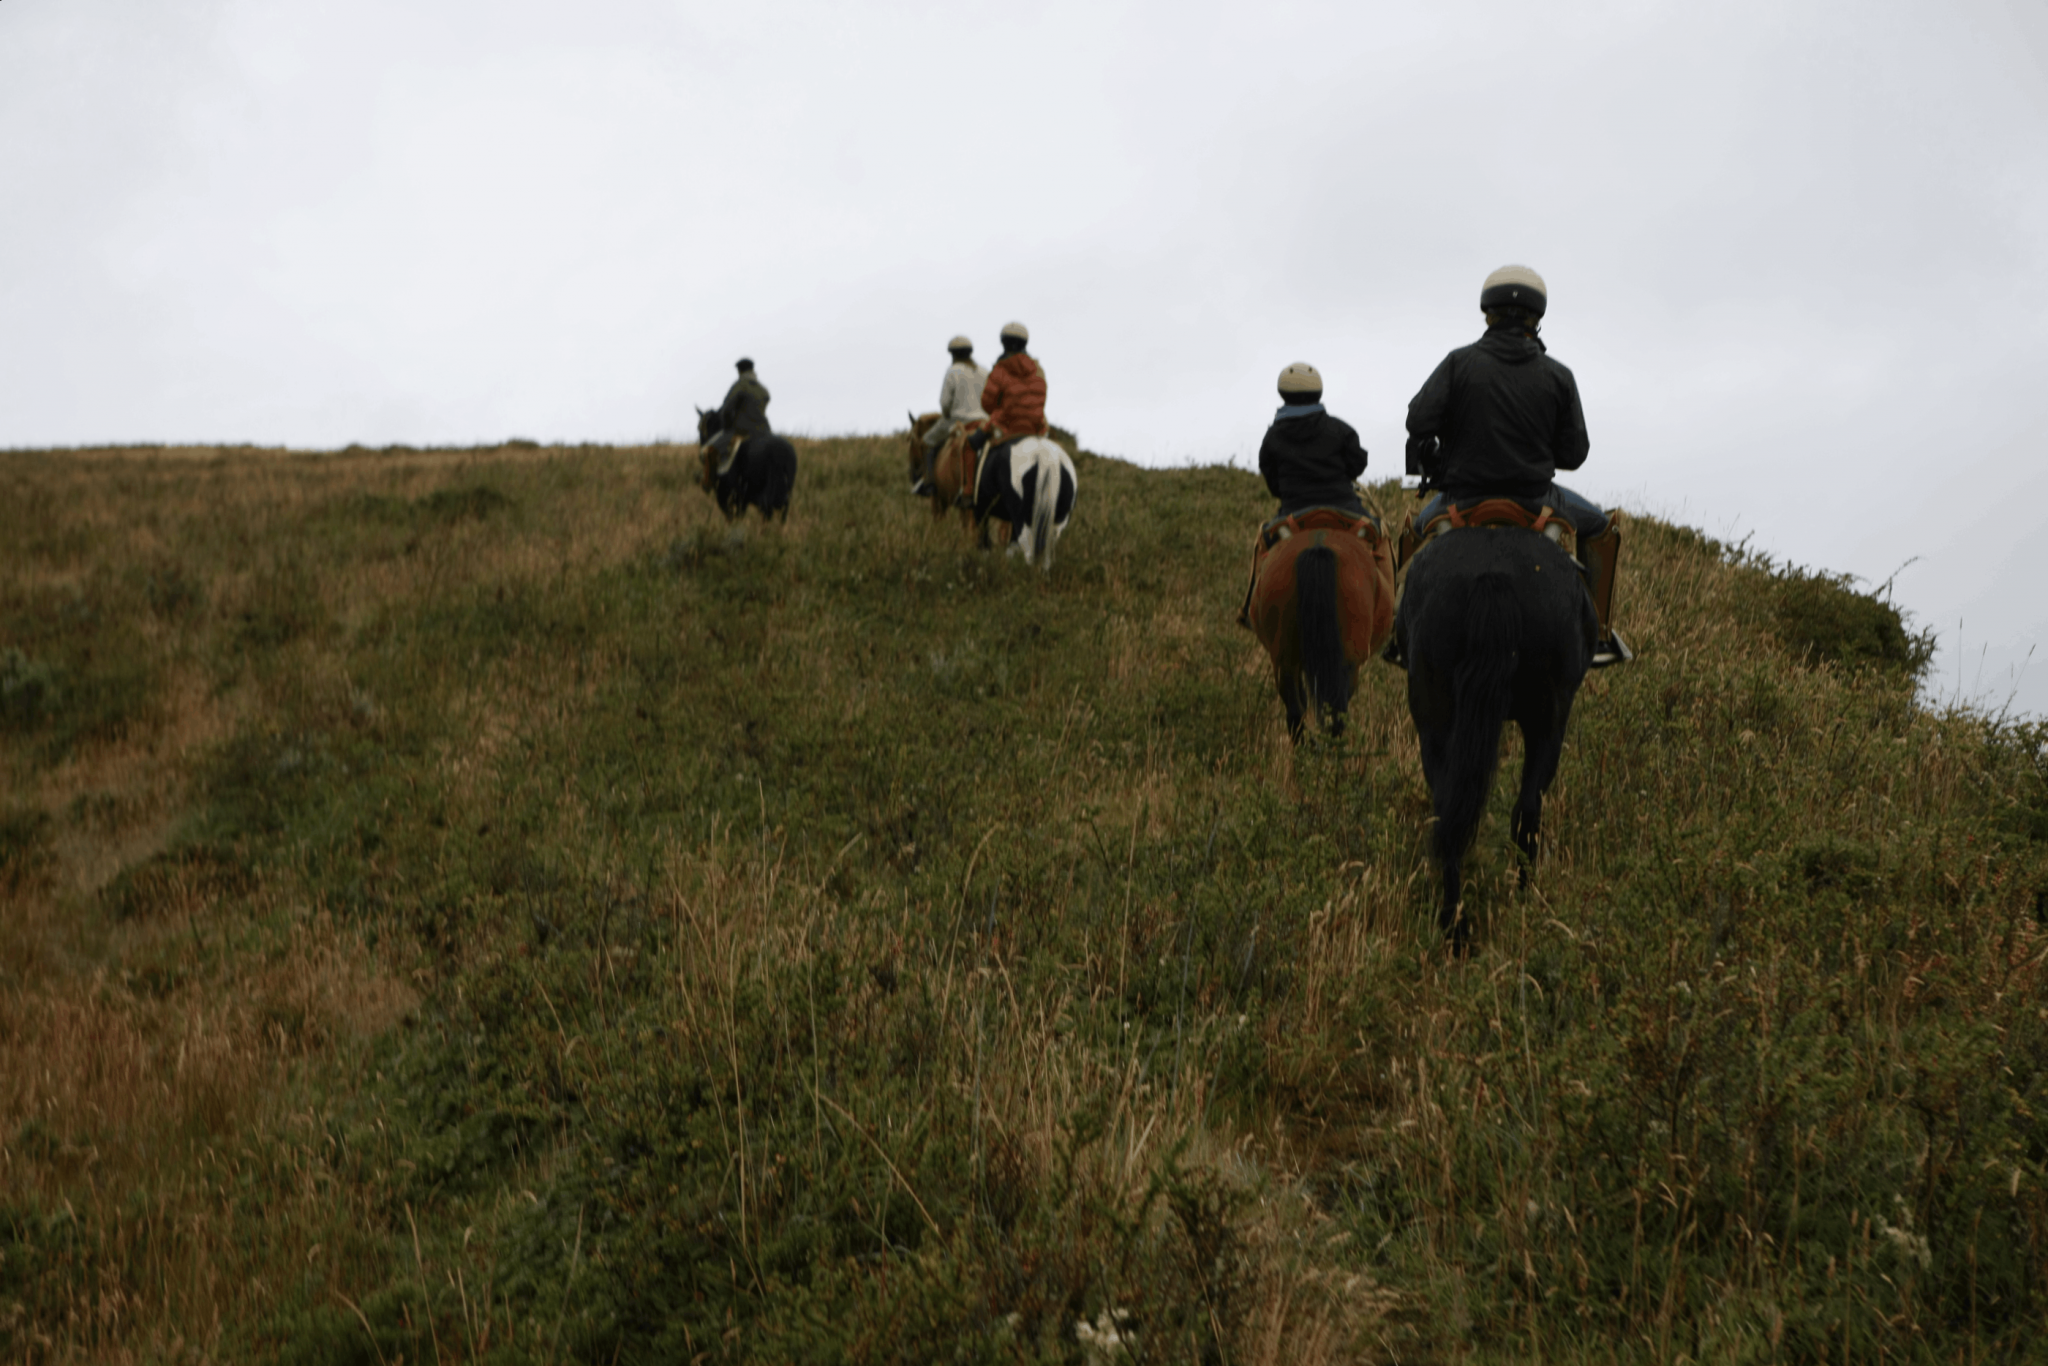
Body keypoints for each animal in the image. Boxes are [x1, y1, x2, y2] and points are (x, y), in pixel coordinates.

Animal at [1392, 528, 1597, 950]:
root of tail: (1493, 575)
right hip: (1548, 720)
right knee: (1525, 811)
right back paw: (1517, 901)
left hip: (1436, 716)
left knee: (1455, 816)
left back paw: (1456, 926)